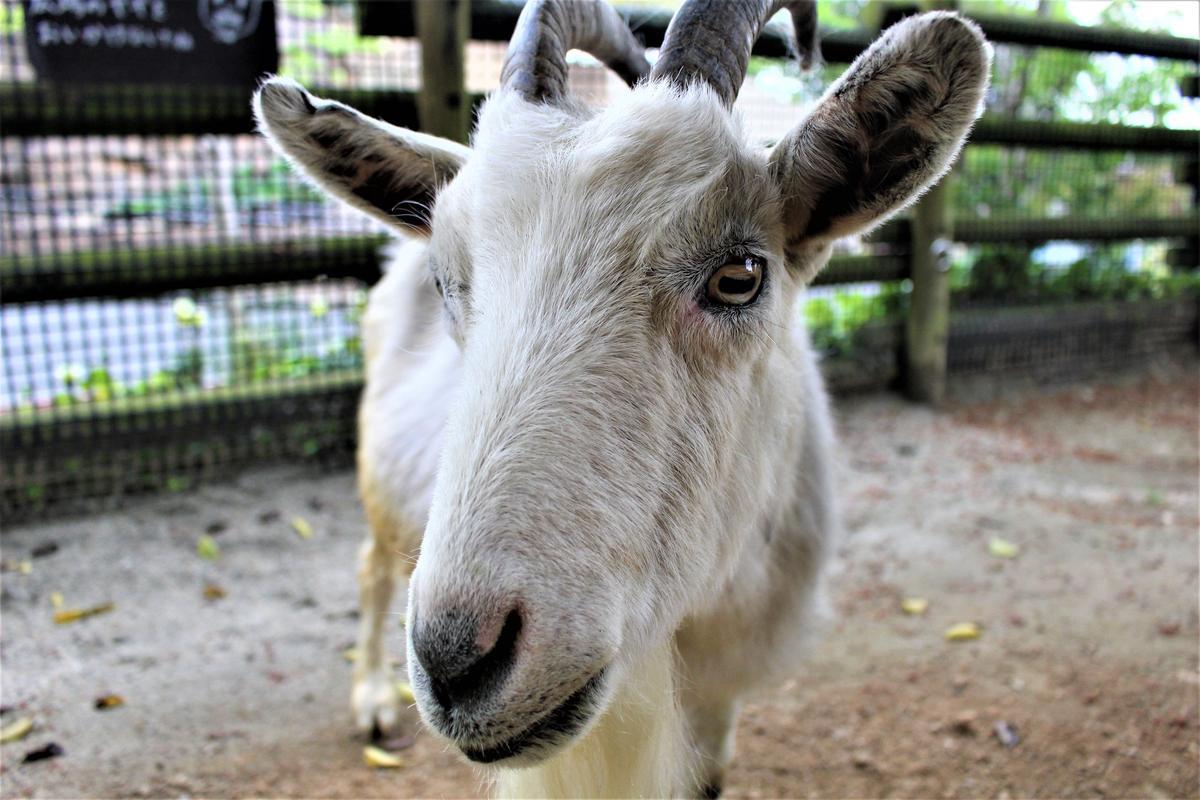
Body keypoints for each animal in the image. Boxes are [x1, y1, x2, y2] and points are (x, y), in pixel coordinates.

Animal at [250, 0, 984, 796]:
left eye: (740, 276)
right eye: (446, 281)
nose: (458, 659)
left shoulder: (720, 702)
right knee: (371, 564)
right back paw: (372, 699)